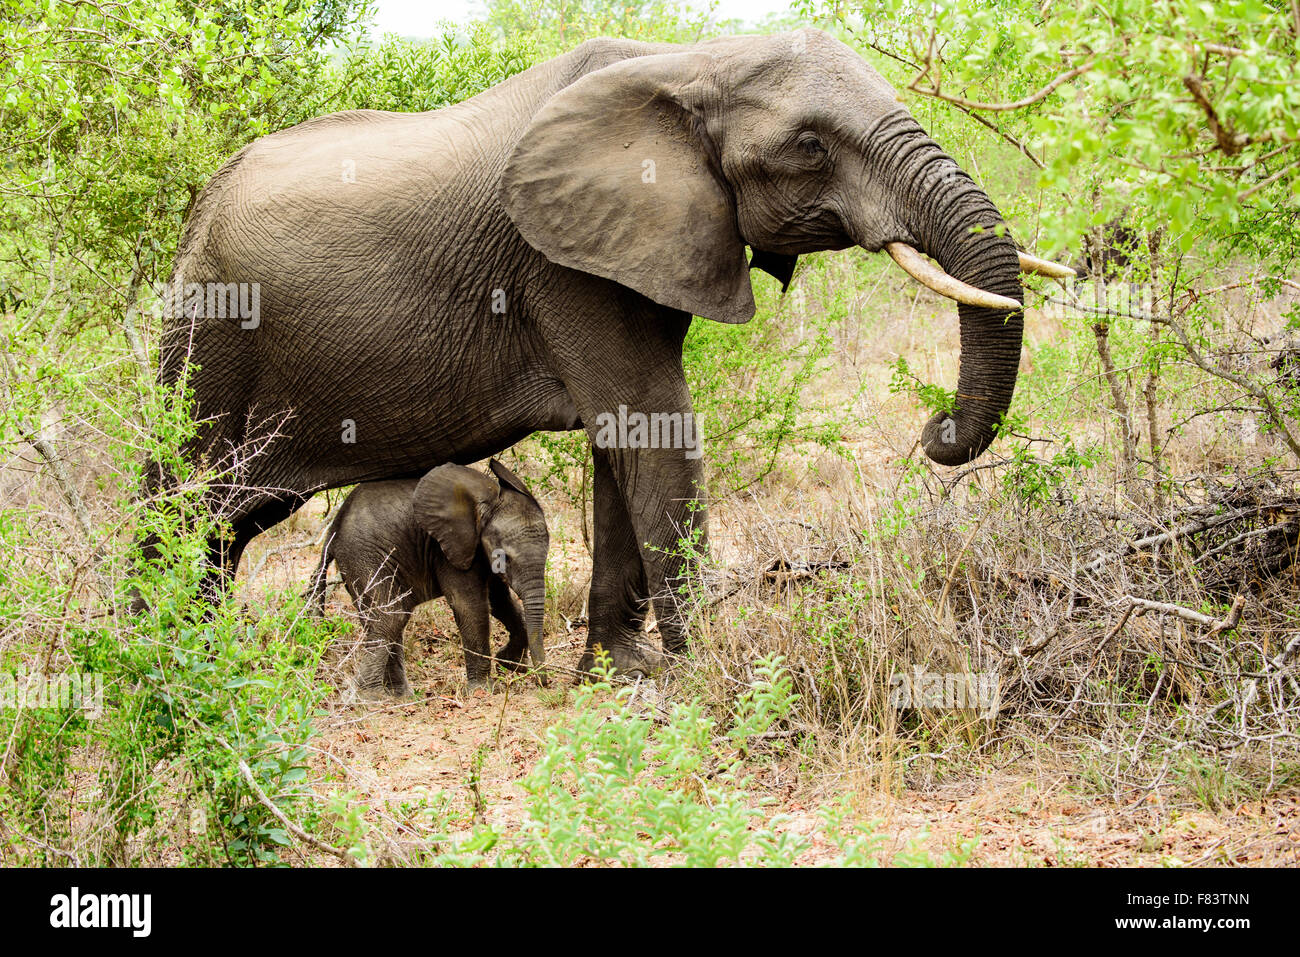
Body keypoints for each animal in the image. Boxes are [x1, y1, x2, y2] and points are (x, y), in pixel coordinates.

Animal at [149, 27, 1066, 670]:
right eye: (811, 147)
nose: (935, 431)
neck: (691, 62)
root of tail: (198, 208)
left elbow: (622, 447)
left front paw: (623, 668)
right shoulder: (562, 266)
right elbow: (655, 429)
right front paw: (707, 677)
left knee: (230, 523)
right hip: (208, 330)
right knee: (180, 501)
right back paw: (157, 662)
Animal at [312, 457, 551, 696]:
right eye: (506, 558)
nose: (544, 683)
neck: (487, 501)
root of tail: (333, 529)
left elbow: (501, 602)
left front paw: (510, 664)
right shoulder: (447, 549)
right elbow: (471, 606)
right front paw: (483, 690)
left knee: (389, 619)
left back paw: (398, 697)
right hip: (365, 557)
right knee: (389, 617)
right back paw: (372, 698)